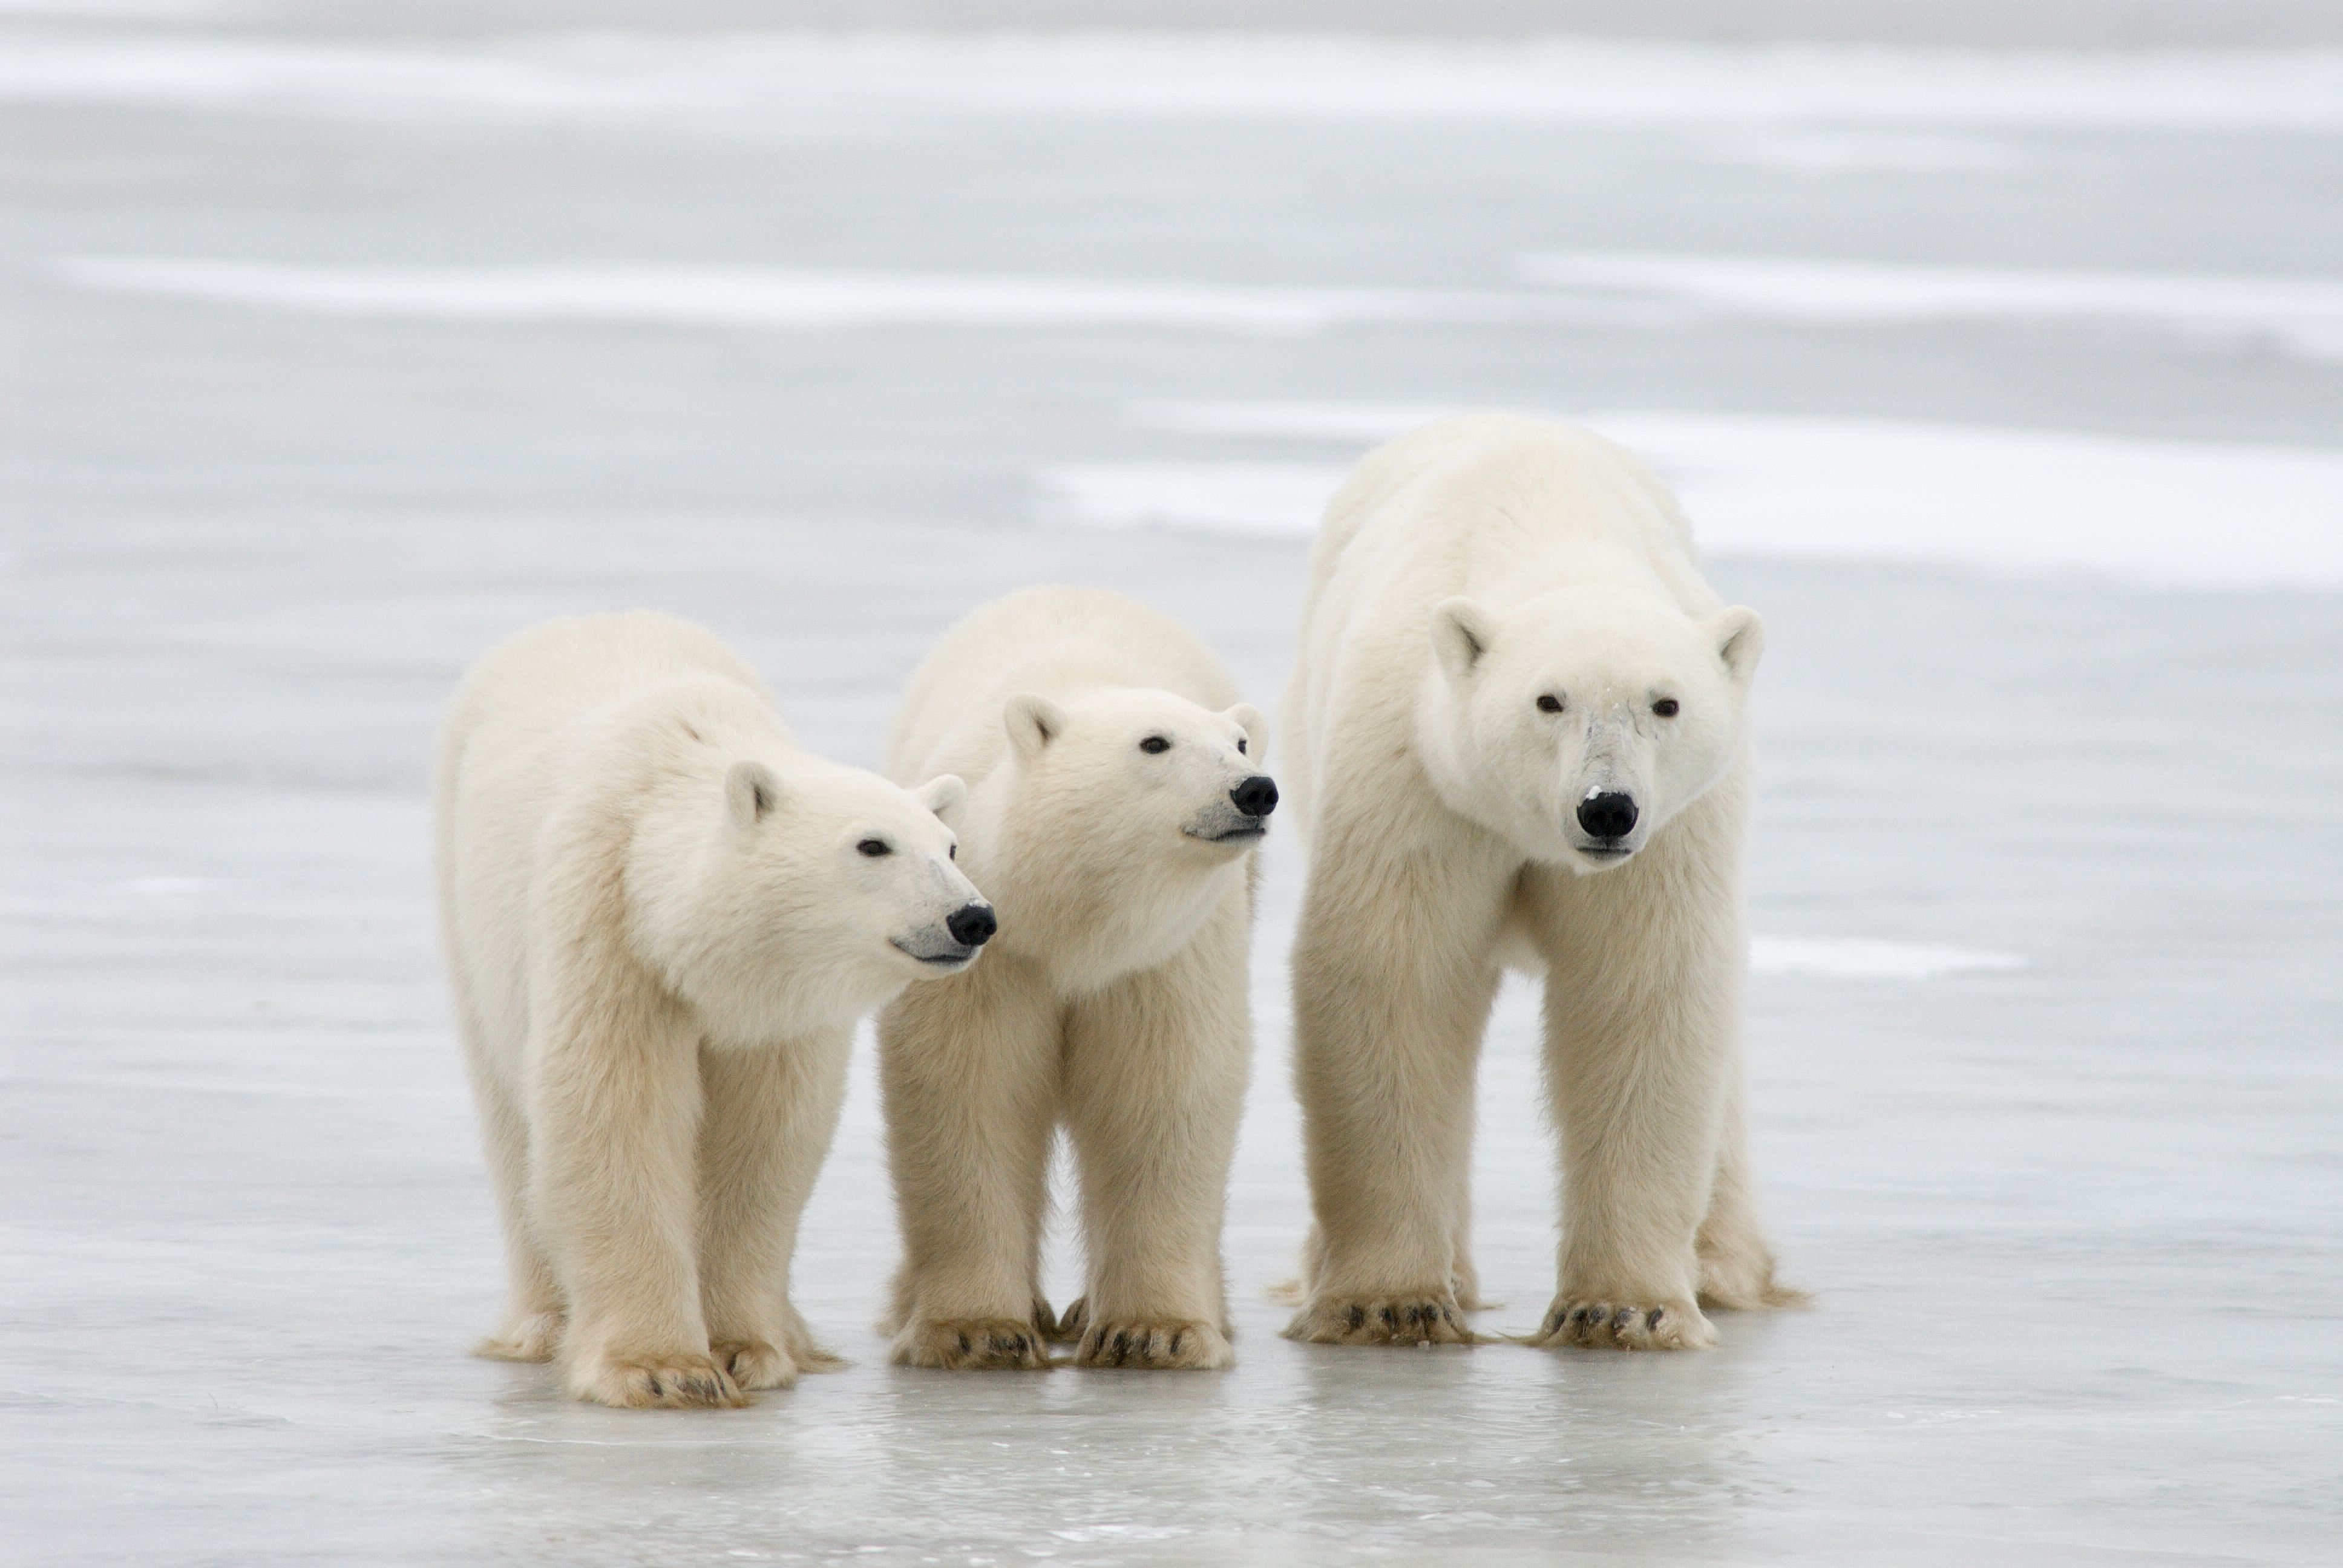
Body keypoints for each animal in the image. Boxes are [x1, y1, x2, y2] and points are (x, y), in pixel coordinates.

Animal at [436, 609, 993, 1406]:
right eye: (872, 845)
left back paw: (798, 1337)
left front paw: (742, 1349)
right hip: (469, 905)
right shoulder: (610, 934)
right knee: (511, 1120)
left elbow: (766, 1139)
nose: (972, 918)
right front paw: (660, 1369)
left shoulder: (776, 1013)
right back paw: (540, 1326)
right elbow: (615, 1115)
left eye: (949, 846)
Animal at [880, 586, 1283, 1368]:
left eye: (1239, 745)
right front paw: (977, 1331)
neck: (1071, 926)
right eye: (1154, 743)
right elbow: (969, 1089)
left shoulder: (1161, 959)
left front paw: (1154, 1332)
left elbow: (1160, 1093)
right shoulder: (993, 956)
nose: (1254, 790)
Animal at [1283, 412, 1790, 1350]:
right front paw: (1389, 1302)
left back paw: (1722, 1268)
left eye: (1665, 704)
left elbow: (1640, 995)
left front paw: (1626, 1308)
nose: (1607, 809)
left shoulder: (1671, 837)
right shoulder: (1420, 779)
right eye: (1547, 701)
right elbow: (1395, 978)